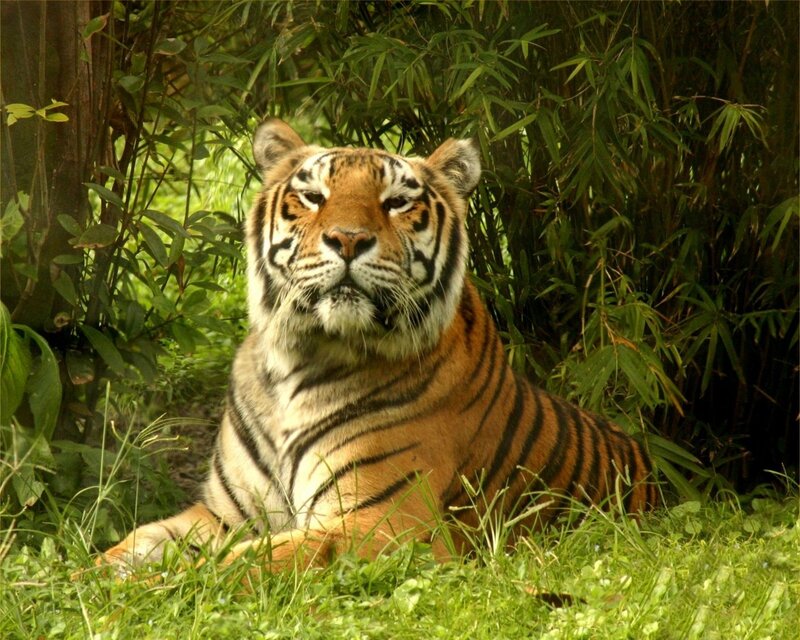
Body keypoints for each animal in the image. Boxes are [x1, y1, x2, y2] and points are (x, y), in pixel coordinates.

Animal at [100, 119, 658, 572]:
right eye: (313, 196)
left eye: (397, 202)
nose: (348, 239)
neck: (297, 359)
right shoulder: (223, 514)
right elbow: (132, 544)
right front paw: (86, 581)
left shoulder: (386, 522)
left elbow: (230, 566)